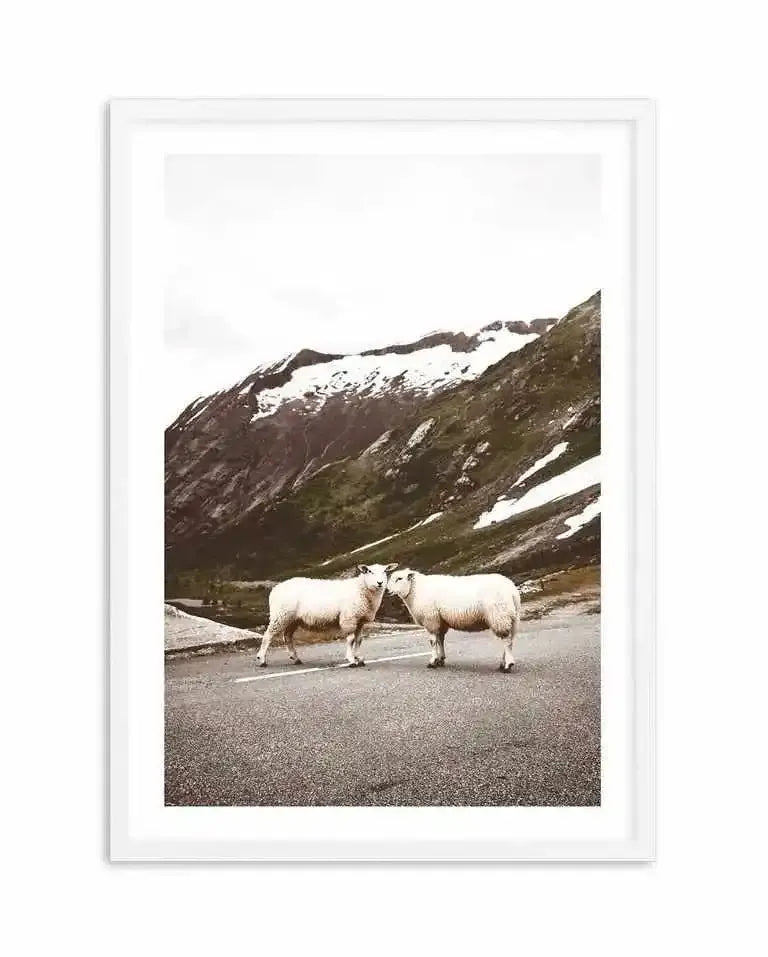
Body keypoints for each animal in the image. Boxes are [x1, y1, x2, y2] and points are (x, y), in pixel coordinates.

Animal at [255, 563, 397, 668]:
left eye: (385, 571)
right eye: (369, 571)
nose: (380, 583)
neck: (361, 589)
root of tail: (276, 588)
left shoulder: (360, 621)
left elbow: (359, 640)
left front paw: (359, 658)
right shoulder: (349, 618)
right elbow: (351, 639)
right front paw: (351, 659)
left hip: (293, 619)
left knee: (287, 637)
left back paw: (295, 658)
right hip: (280, 615)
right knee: (268, 635)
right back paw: (262, 660)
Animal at [387, 569, 522, 672]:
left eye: (399, 578)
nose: (387, 591)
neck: (416, 591)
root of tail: (512, 591)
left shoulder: (431, 619)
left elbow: (433, 642)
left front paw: (432, 661)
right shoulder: (441, 621)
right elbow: (440, 640)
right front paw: (440, 659)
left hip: (500, 615)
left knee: (506, 641)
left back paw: (507, 665)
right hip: (511, 617)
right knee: (509, 640)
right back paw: (502, 664)